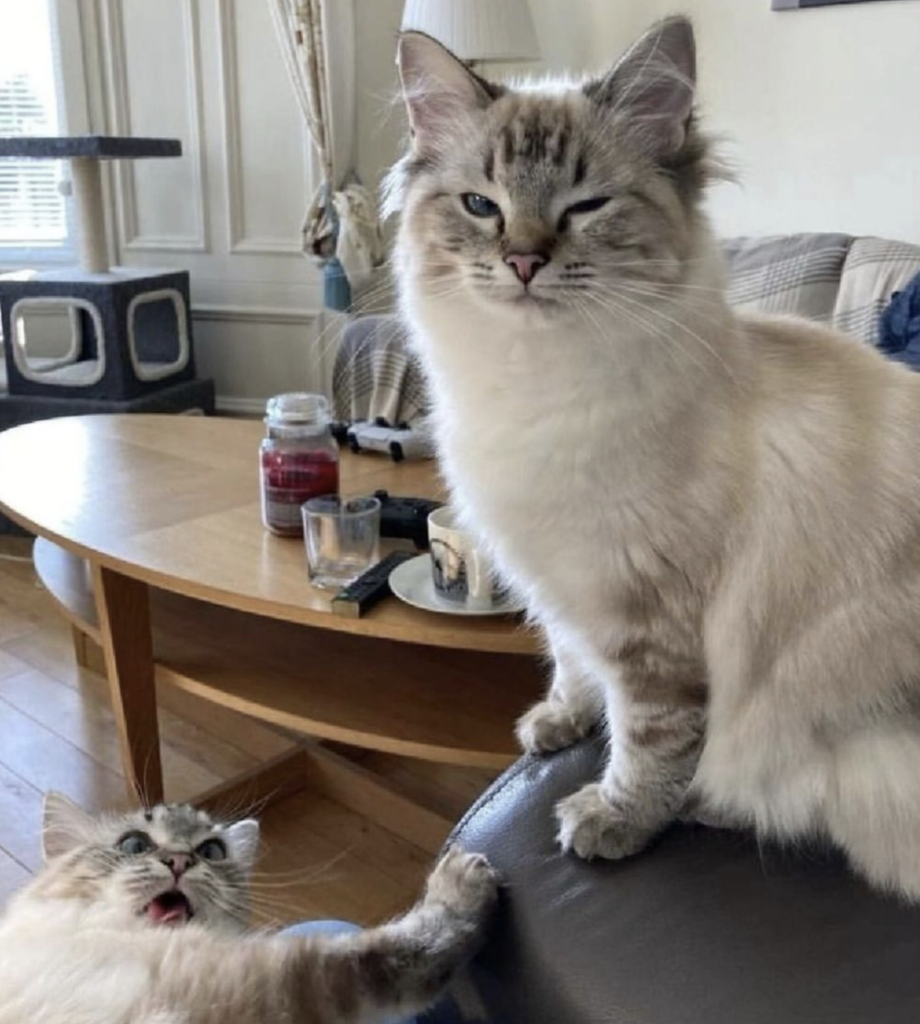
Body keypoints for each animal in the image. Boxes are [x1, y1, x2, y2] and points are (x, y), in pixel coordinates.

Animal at [0, 790, 495, 1024]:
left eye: (212, 851)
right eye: (135, 846)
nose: (180, 861)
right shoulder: (266, 978)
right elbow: (404, 950)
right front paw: (463, 875)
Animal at [387, 14, 920, 897]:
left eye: (585, 207)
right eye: (481, 206)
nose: (523, 261)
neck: (534, 383)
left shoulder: (647, 618)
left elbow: (648, 737)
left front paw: (614, 819)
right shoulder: (557, 580)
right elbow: (570, 665)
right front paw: (557, 725)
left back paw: (708, 804)